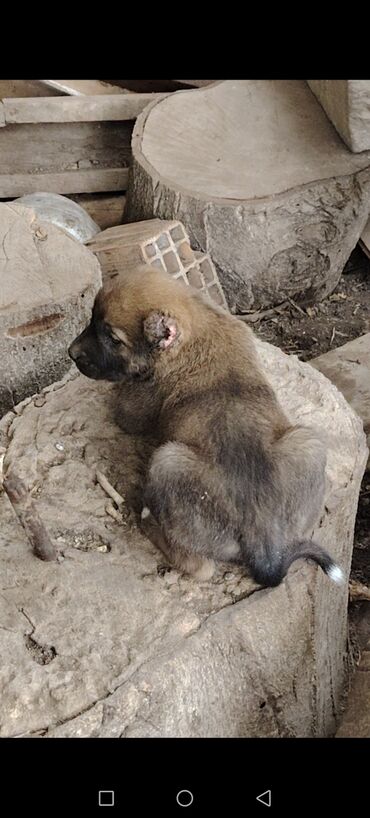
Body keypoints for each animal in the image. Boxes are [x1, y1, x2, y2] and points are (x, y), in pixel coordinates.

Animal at [69, 264, 344, 584]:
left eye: (114, 339)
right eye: (91, 319)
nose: (71, 353)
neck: (199, 325)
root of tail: (262, 539)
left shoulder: (136, 403)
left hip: (168, 460)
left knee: (198, 566)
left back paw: (147, 520)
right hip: (308, 442)